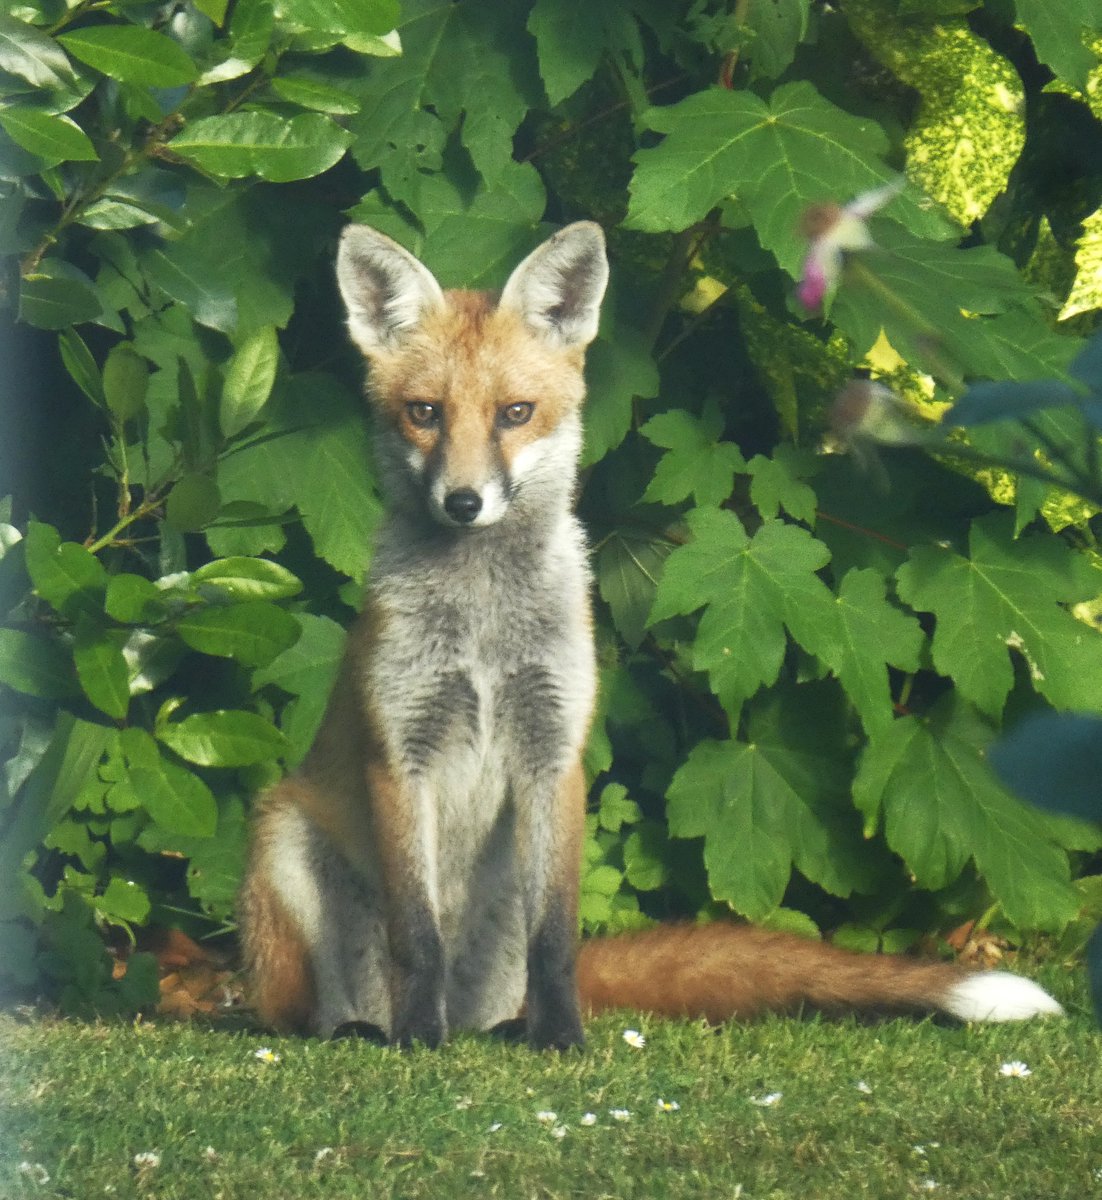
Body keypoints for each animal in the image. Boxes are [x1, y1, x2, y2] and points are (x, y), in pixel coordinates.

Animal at [237, 221, 1063, 1050]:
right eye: (425, 413)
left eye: (515, 413)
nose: (464, 501)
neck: (484, 627)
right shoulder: (400, 749)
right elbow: (418, 933)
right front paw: (417, 1037)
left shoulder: (555, 751)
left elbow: (556, 939)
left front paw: (562, 1038)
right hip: (282, 837)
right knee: (301, 1010)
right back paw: (365, 1029)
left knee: (512, 985)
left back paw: (509, 1029)